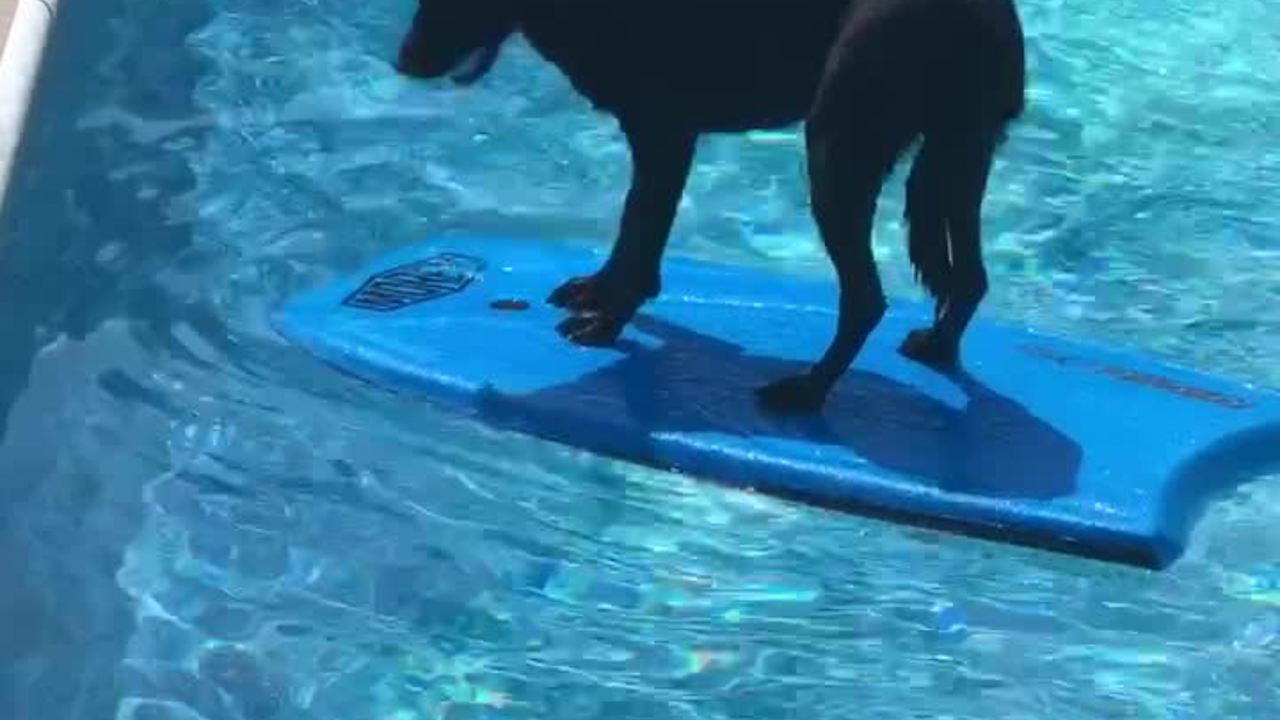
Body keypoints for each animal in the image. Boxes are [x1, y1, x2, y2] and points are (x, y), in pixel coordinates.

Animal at [394, 0, 1024, 412]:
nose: (404, 62)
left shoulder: (666, 133)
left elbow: (640, 232)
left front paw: (608, 323)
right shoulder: (658, 140)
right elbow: (632, 239)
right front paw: (599, 292)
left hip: (837, 151)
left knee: (866, 298)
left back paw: (808, 390)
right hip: (957, 158)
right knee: (971, 278)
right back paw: (937, 348)